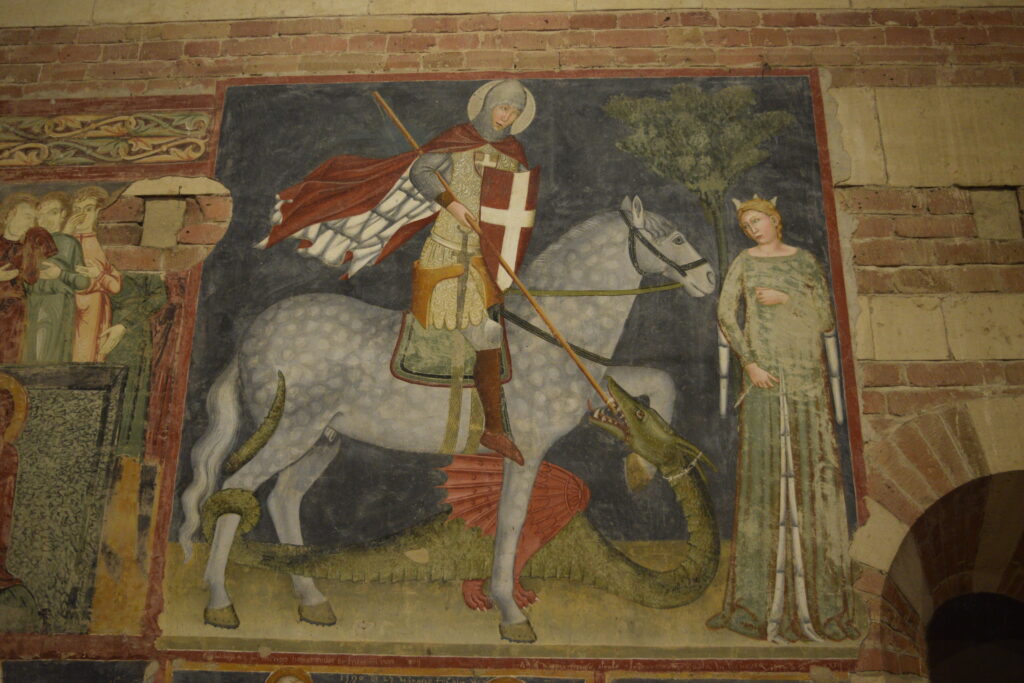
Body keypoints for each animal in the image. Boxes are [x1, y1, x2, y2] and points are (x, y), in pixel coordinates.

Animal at [176, 196, 716, 643]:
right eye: (675, 238)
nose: (709, 279)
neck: (548, 330)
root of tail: (253, 334)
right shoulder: (527, 452)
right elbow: (511, 521)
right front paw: (510, 613)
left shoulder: (597, 385)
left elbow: (660, 382)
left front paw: (646, 465)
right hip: (293, 430)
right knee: (236, 491)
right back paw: (220, 603)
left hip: (323, 439)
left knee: (284, 499)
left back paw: (312, 602)